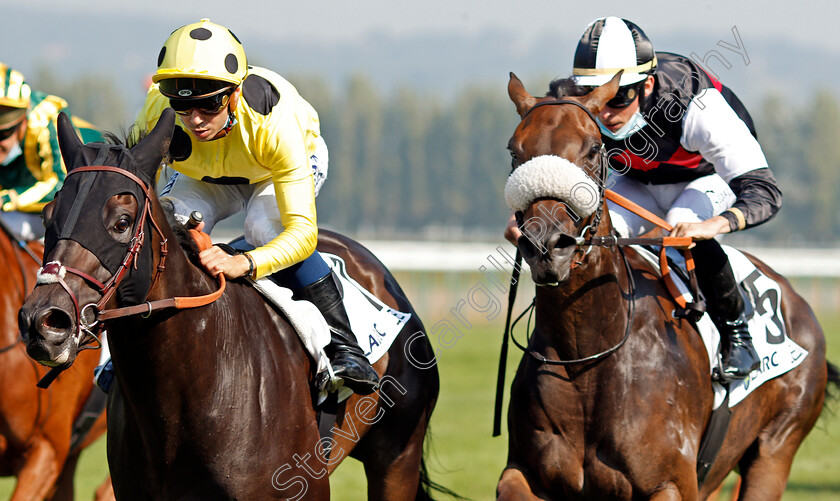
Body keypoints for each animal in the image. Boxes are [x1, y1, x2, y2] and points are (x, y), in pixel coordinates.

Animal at [496, 71, 836, 500]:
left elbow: (758, 186)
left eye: (593, 149)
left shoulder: (671, 482)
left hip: (775, 450)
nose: (546, 245)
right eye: (514, 152)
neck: (586, 359)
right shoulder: (523, 473)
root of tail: (797, 303)